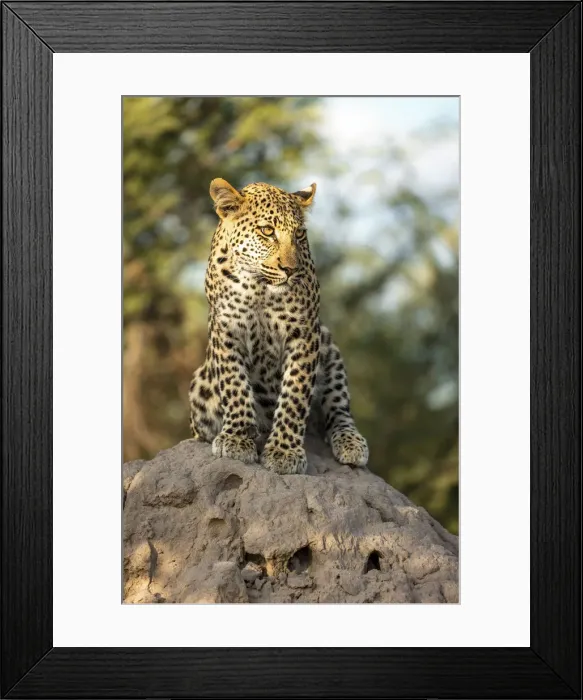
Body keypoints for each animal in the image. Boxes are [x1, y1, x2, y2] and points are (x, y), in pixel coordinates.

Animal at [188, 178, 369, 475]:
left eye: (299, 235)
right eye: (267, 231)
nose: (291, 269)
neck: (259, 286)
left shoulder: (305, 334)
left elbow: (295, 395)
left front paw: (284, 452)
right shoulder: (225, 330)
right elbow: (235, 385)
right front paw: (237, 438)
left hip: (330, 351)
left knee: (338, 408)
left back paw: (351, 443)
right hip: (200, 387)